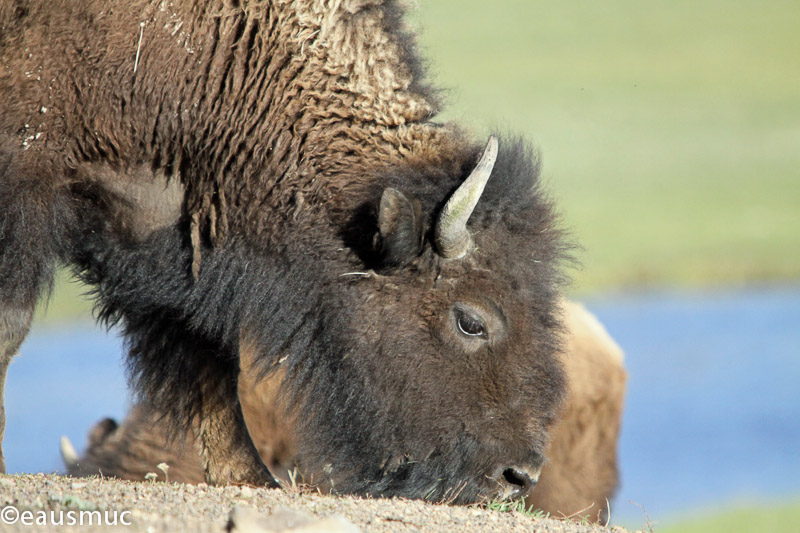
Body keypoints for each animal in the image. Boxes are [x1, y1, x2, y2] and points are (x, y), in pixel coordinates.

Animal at [3, 0, 572, 502]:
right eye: (471, 320)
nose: (518, 476)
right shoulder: (26, 181)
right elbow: (13, 322)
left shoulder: (171, 239)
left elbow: (212, 368)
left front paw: (253, 479)